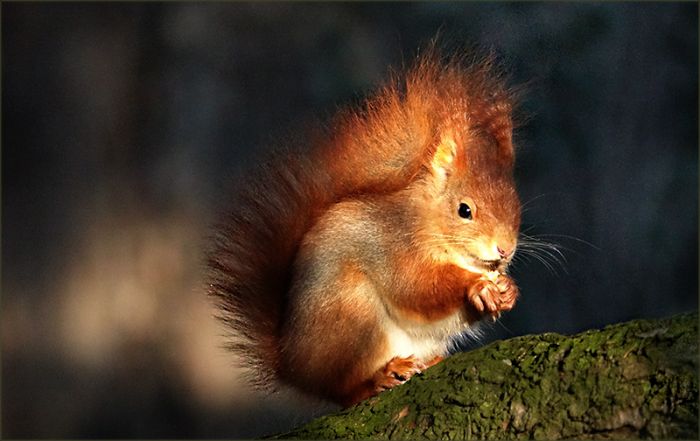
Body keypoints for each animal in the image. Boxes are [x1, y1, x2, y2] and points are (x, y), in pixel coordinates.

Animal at [207, 47, 521, 407]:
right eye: (464, 210)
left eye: (516, 205)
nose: (505, 249)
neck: (426, 224)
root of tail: (296, 368)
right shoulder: (392, 246)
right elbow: (416, 288)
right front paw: (477, 285)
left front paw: (507, 289)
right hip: (354, 316)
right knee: (345, 390)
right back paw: (380, 378)